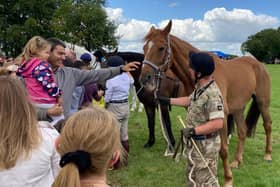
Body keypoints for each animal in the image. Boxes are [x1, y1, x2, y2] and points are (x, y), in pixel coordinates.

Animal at [140, 19, 272, 186]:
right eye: (144, 48)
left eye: (161, 48)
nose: (144, 80)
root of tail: (258, 63)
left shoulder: (221, 116)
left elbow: (223, 149)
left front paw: (228, 180)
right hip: (238, 108)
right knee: (242, 131)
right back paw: (237, 161)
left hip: (262, 102)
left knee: (267, 125)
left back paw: (267, 155)